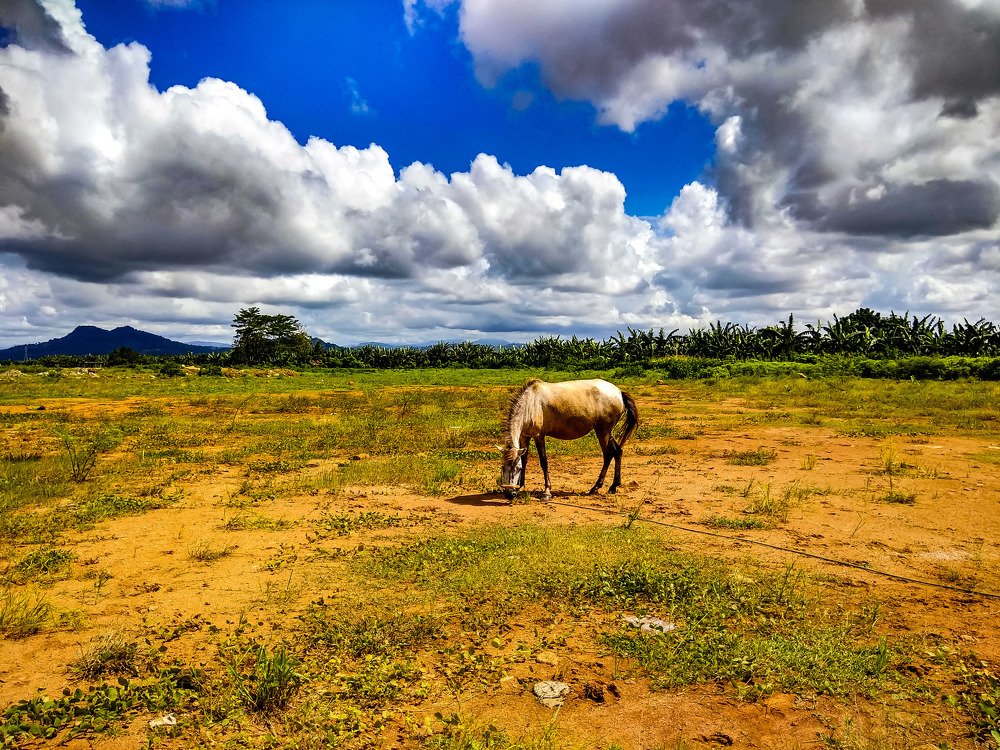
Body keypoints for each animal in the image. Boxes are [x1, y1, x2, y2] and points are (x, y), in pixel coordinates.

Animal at [500, 378, 640, 500]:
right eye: (502, 467)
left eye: (517, 469)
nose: (509, 494)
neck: (530, 403)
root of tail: (619, 392)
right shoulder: (524, 436)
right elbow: (524, 460)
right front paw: (520, 486)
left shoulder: (539, 436)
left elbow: (543, 462)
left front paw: (547, 492)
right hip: (607, 432)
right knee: (617, 451)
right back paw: (614, 486)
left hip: (602, 432)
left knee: (608, 454)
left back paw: (596, 487)